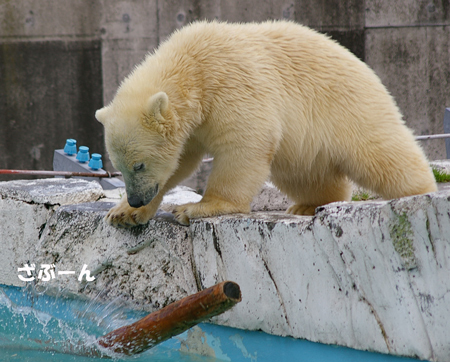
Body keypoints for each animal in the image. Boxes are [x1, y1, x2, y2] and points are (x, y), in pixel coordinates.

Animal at [95, 19, 436, 226]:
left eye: (138, 164)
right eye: (119, 166)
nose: (136, 198)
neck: (193, 67)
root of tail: (362, 64)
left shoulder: (230, 84)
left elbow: (244, 144)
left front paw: (196, 207)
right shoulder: (192, 123)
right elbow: (180, 162)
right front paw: (124, 213)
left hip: (349, 107)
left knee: (382, 154)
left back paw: (420, 192)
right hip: (307, 145)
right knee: (306, 173)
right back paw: (306, 205)